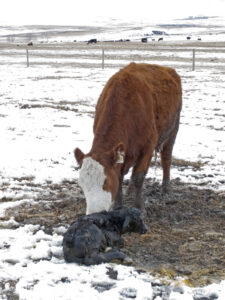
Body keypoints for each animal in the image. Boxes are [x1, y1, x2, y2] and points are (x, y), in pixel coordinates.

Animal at [74, 62, 182, 216]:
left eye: (106, 182)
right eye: (82, 184)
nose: (94, 213)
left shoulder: (148, 147)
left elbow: (139, 177)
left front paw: (139, 207)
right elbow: (120, 177)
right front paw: (118, 206)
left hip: (173, 130)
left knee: (166, 158)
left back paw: (166, 189)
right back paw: (130, 190)